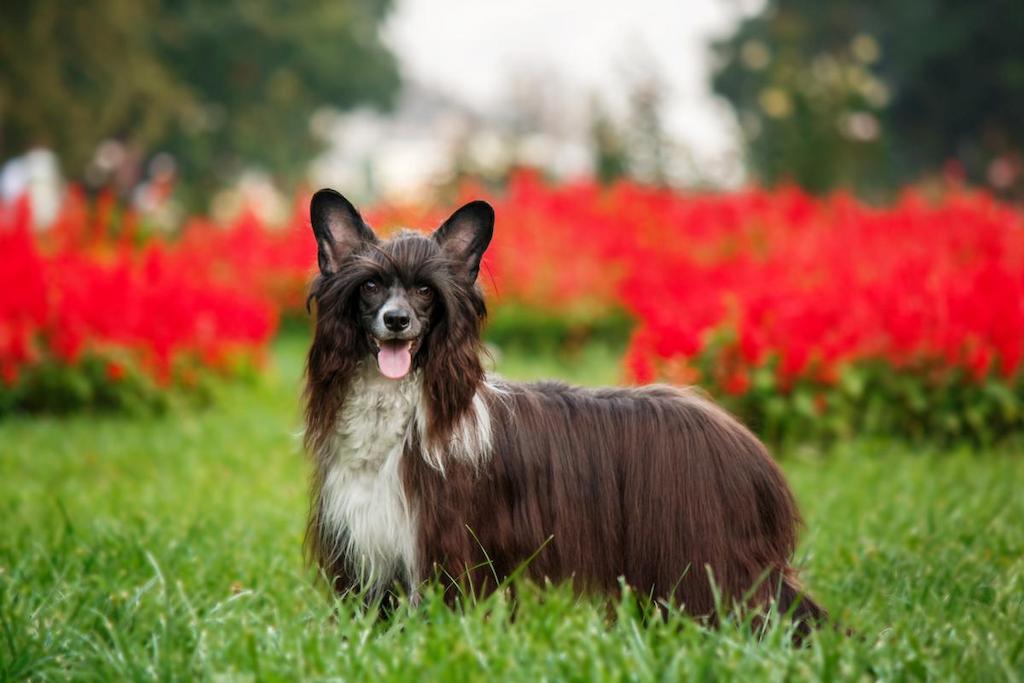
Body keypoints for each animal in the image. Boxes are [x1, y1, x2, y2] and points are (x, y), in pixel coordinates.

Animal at [299, 188, 823, 634]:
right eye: (370, 285)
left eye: (426, 291)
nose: (396, 320)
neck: (400, 411)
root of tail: (746, 445)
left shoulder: (447, 543)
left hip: (711, 557)